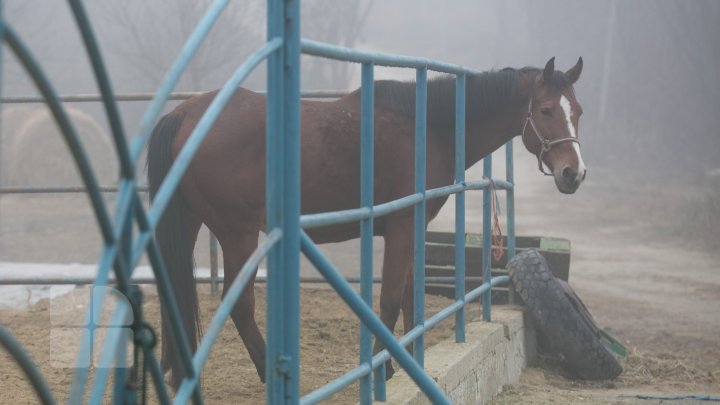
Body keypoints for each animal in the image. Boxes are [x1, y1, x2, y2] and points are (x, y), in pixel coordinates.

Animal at [146, 55, 584, 386]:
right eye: (545, 110)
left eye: (576, 111)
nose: (573, 174)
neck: (428, 128)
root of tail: (186, 114)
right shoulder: (403, 226)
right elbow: (389, 301)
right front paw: (381, 369)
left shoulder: (413, 230)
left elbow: (409, 298)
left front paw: (406, 361)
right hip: (237, 235)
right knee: (240, 306)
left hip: (190, 224)